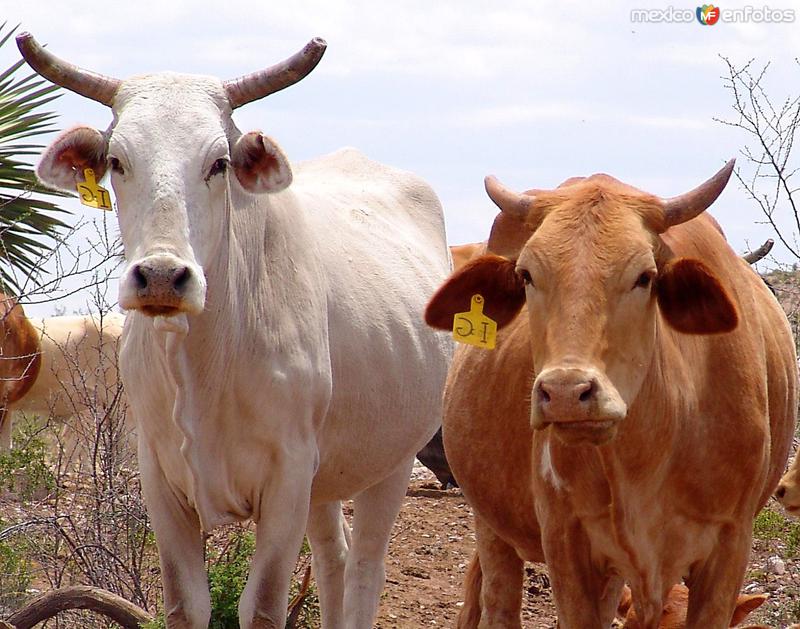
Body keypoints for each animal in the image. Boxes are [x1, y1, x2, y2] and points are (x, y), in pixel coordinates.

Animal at [21, 34, 450, 628]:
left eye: (219, 162)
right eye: (117, 161)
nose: (162, 275)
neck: (203, 362)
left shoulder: (288, 478)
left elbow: (263, 606)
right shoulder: (160, 478)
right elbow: (186, 604)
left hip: (392, 459)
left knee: (365, 567)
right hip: (327, 478)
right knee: (333, 558)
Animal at [424, 162, 792, 628]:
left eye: (644, 276)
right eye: (527, 275)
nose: (565, 392)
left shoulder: (730, 545)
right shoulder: (566, 541)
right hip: (492, 523)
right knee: (496, 600)